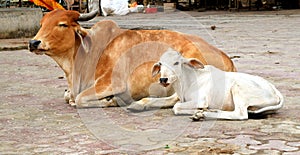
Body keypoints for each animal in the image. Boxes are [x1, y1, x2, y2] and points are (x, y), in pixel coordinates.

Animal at [29, 9, 236, 110]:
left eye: (62, 24)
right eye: (41, 23)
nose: (33, 42)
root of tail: (229, 61)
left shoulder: (110, 83)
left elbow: (78, 100)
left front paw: (110, 101)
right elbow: (68, 96)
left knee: (178, 98)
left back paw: (138, 104)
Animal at [152, 48, 284, 120]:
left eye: (176, 63)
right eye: (160, 64)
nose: (163, 79)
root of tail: (275, 90)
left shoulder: (201, 100)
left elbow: (176, 107)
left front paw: (200, 111)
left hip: (238, 89)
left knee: (240, 114)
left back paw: (203, 115)